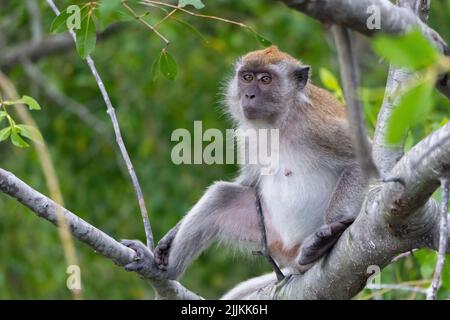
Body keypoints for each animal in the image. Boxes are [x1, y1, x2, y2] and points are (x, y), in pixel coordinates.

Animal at [121, 45, 368, 284]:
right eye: (247, 77)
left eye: (266, 79)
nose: (249, 94)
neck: (278, 121)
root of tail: (291, 257)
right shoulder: (246, 136)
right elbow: (249, 181)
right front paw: (172, 235)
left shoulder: (318, 125)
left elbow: (362, 162)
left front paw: (330, 229)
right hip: (271, 239)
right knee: (221, 196)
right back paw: (165, 271)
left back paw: (317, 247)